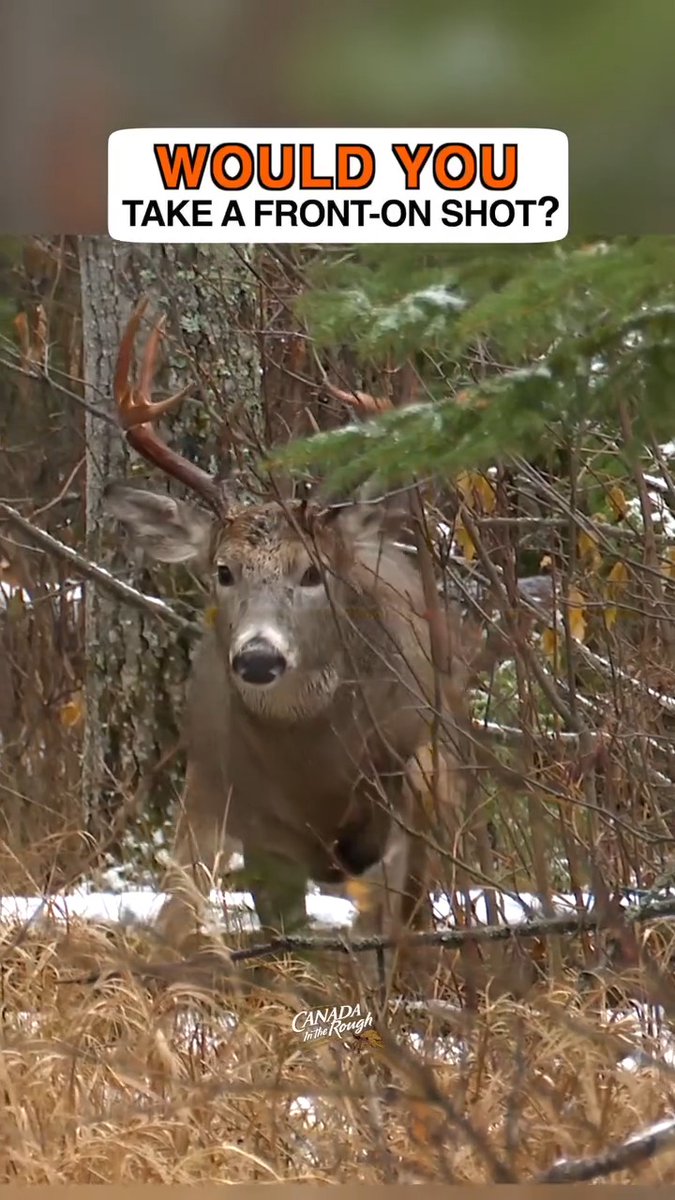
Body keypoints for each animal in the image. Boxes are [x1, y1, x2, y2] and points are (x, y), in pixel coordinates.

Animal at [103, 299, 471, 982]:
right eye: (223, 570)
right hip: (205, 783)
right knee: (181, 906)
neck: (315, 767)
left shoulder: (418, 782)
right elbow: (282, 941)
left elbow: (396, 926)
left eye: (312, 572)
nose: (258, 657)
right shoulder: (257, 823)